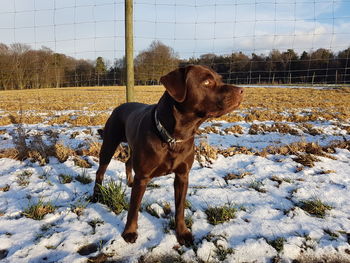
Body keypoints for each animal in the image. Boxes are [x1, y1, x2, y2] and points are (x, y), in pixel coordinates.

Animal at [93, 65, 243, 246]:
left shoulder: (182, 175)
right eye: (207, 82)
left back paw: (129, 182)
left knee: (128, 162)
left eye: (220, 79)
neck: (174, 137)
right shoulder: (143, 176)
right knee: (100, 171)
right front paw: (129, 232)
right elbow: (133, 208)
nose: (241, 90)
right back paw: (96, 195)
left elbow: (180, 208)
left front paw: (182, 233)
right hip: (109, 144)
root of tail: (120, 106)